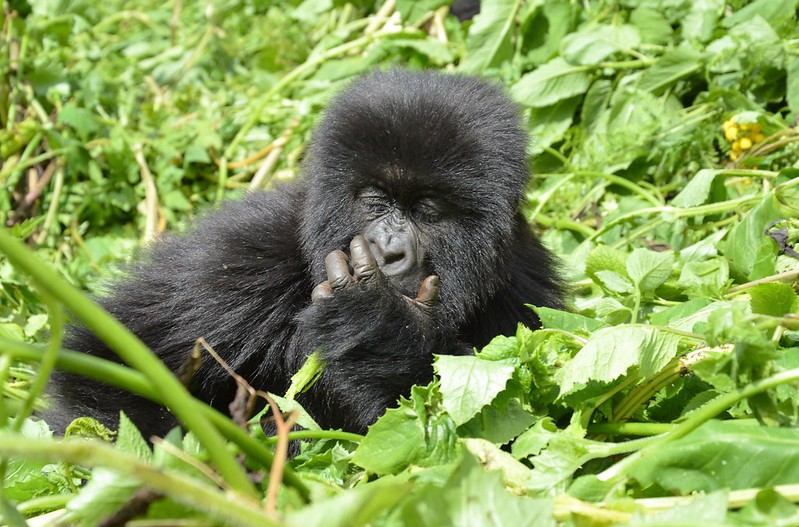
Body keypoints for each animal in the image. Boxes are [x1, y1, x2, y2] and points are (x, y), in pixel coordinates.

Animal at [45, 70, 564, 442]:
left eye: (427, 210)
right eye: (376, 201)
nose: (388, 250)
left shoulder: (524, 287)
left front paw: (378, 331)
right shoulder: (238, 260)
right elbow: (105, 363)